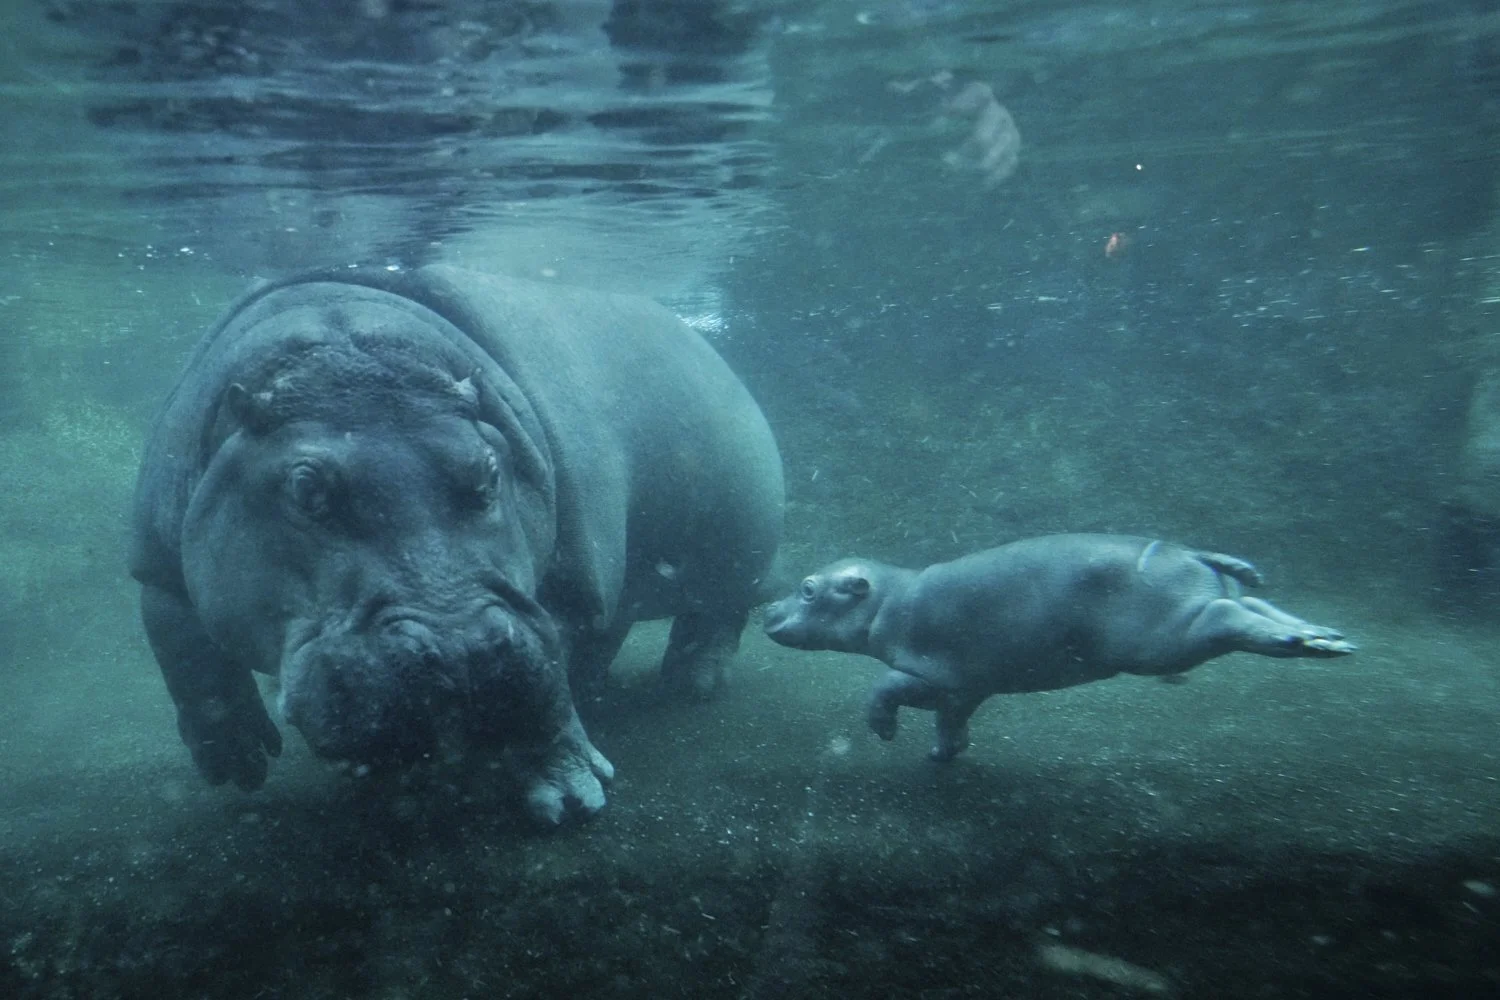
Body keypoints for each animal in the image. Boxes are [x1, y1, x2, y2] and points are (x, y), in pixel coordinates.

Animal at [129, 265, 783, 825]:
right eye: (305, 487)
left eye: (490, 470)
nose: (463, 650)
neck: (342, 356)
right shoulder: (156, 565)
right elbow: (184, 651)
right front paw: (235, 763)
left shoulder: (563, 588)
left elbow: (549, 681)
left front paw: (570, 799)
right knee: (617, 625)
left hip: (740, 550)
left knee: (717, 614)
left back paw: (693, 684)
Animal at [763, 534, 1353, 761]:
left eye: (808, 588)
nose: (765, 608)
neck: (889, 596)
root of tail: (1189, 551)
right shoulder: (968, 684)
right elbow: (951, 720)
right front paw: (943, 754)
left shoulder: (935, 670)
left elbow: (885, 687)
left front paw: (884, 732)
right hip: (1201, 604)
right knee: (1254, 602)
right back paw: (1325, 637)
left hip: (1169, 637)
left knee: (1229, 617)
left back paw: (1312, 641)